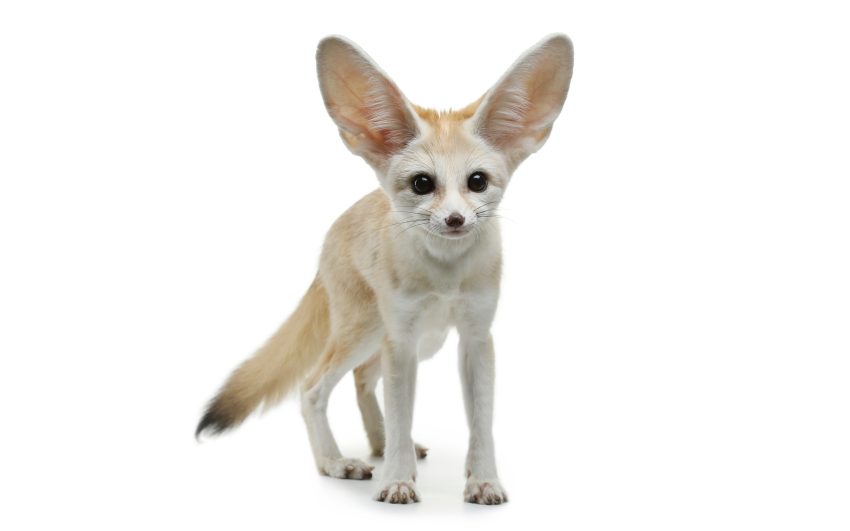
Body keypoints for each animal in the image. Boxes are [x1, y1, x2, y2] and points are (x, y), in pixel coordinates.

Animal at [196, 33, 574, 505]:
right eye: (422, 184)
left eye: (478, 182)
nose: (455, 220)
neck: (445, 276)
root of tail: (340, 223)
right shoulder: (402, 340)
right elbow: (399, 414)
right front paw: (396, 479)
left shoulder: (474, 337)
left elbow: (480, 422)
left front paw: (483, 479)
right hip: (367, 332)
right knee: (312, 388)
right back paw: (336, 462)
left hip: (421, 341)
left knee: (361, 379)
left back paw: (377, 446)